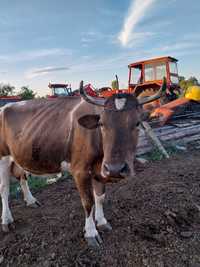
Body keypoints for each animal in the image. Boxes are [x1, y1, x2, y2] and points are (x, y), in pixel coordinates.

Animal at [0, 80, 166, 248]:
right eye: (101, 124)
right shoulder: (80, 170)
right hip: (3, 157)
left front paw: (102, 221)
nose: (115, 169)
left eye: (137, 123)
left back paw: (31, 200)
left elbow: (100, 197)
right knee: (4, 189)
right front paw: (91, 233)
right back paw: (6, 220)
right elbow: (88, 202)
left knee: (22, 177)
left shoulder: (101, 169)